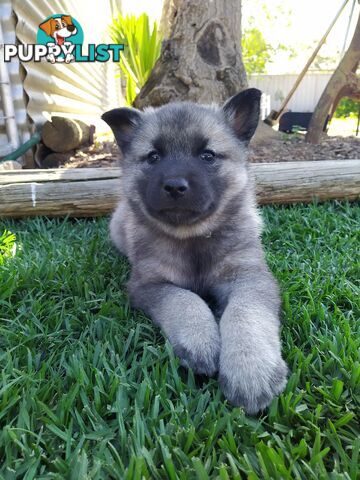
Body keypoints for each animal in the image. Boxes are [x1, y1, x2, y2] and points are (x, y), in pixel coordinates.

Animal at [102, 89, 288, 412]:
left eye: (207, 155)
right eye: (154, 157)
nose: (175, 186)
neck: (193, 239)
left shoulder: (249, 277)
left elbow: (244, 313)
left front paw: (250, 369)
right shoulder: (149, 285)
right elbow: (185, 300)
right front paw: (201, 341)